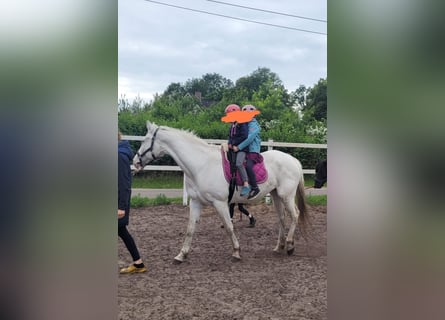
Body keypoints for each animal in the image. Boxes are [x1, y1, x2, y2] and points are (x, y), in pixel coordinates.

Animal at [133, 121, 306, 264]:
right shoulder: (195, 202)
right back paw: (279, 246)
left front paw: (236, 252)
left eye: (143, 140)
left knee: (295, 215)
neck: (201, 165)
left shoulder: (220, 203)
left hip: (286, 195)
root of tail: (293, 160)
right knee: (282, 218)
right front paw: (182, 254)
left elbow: (229, 227)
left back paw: (290, 245)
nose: (135, 162)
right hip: (276, 195)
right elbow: (190, 229)